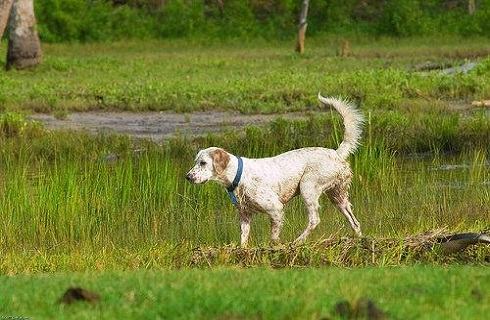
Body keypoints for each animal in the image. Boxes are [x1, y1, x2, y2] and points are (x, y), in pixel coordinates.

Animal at [187, 94, 364, 246]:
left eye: (203, 163)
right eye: (196, 162)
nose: (188, 177)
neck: (239, 175)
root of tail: (336, 153)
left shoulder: (275, 208)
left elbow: (273, 236)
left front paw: (276, 246)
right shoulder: (244, 215)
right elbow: (243, 240)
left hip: (308, 187)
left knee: (314, 220)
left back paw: (298, 241)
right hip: (337, 196)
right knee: (354, 221)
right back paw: (359, 238)